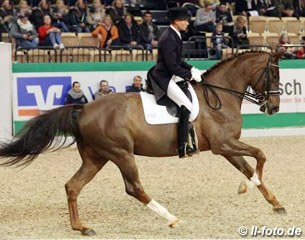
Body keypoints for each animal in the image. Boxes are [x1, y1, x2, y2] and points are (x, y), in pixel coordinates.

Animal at [0, 49, 284, 235]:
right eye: (273, 74)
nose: (273, 107)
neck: (220, 95)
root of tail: (84, 109)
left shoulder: (227, 146)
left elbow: (249, 166)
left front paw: (274, 202)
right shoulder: (221, 145)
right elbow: (261, 155)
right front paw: (248, 187)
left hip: (96, 157)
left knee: (73, 186)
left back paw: (81, 227)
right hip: (121, 153)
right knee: (133, 187)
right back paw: (171, 218)